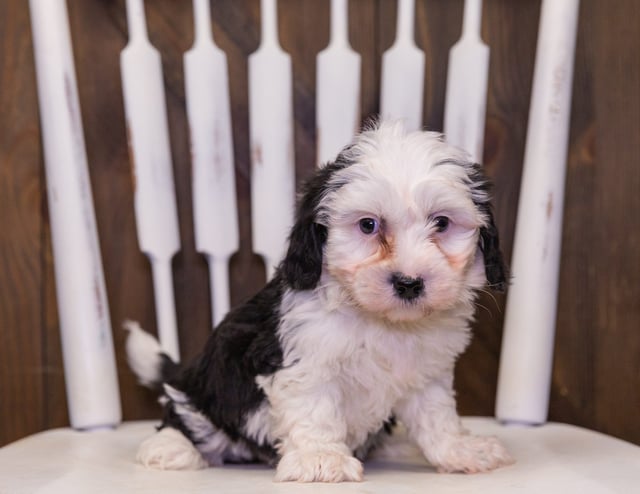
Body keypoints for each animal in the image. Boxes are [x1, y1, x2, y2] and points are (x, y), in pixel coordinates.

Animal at [126, 120, 516, 482]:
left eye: (442, 223)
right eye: (368, 225)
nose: (408, 283)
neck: (381, 320)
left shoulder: (426, 372)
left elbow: (437, 415)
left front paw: (460, 450)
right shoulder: (303, 360)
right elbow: (315, 410)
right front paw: (321, 458)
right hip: (214, 386)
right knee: (187, 412)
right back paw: (172, 446)